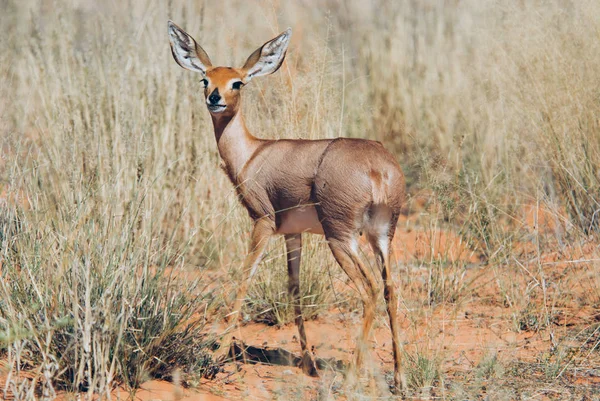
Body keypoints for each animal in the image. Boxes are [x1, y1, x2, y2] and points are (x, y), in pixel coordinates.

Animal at [166, 21, 406, 390]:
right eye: (206, 78)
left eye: (238, 82)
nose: (215, 98)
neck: (252, 154)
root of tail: (379, 167)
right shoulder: (294, 234)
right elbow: (294, 289)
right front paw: (308, 363)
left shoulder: (262, 223)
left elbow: (244, 277)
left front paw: (217, 353)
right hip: (381, 236)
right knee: (391, 290)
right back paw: (399, 377)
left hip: (341, 238)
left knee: (369, 290)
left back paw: (351, 376)